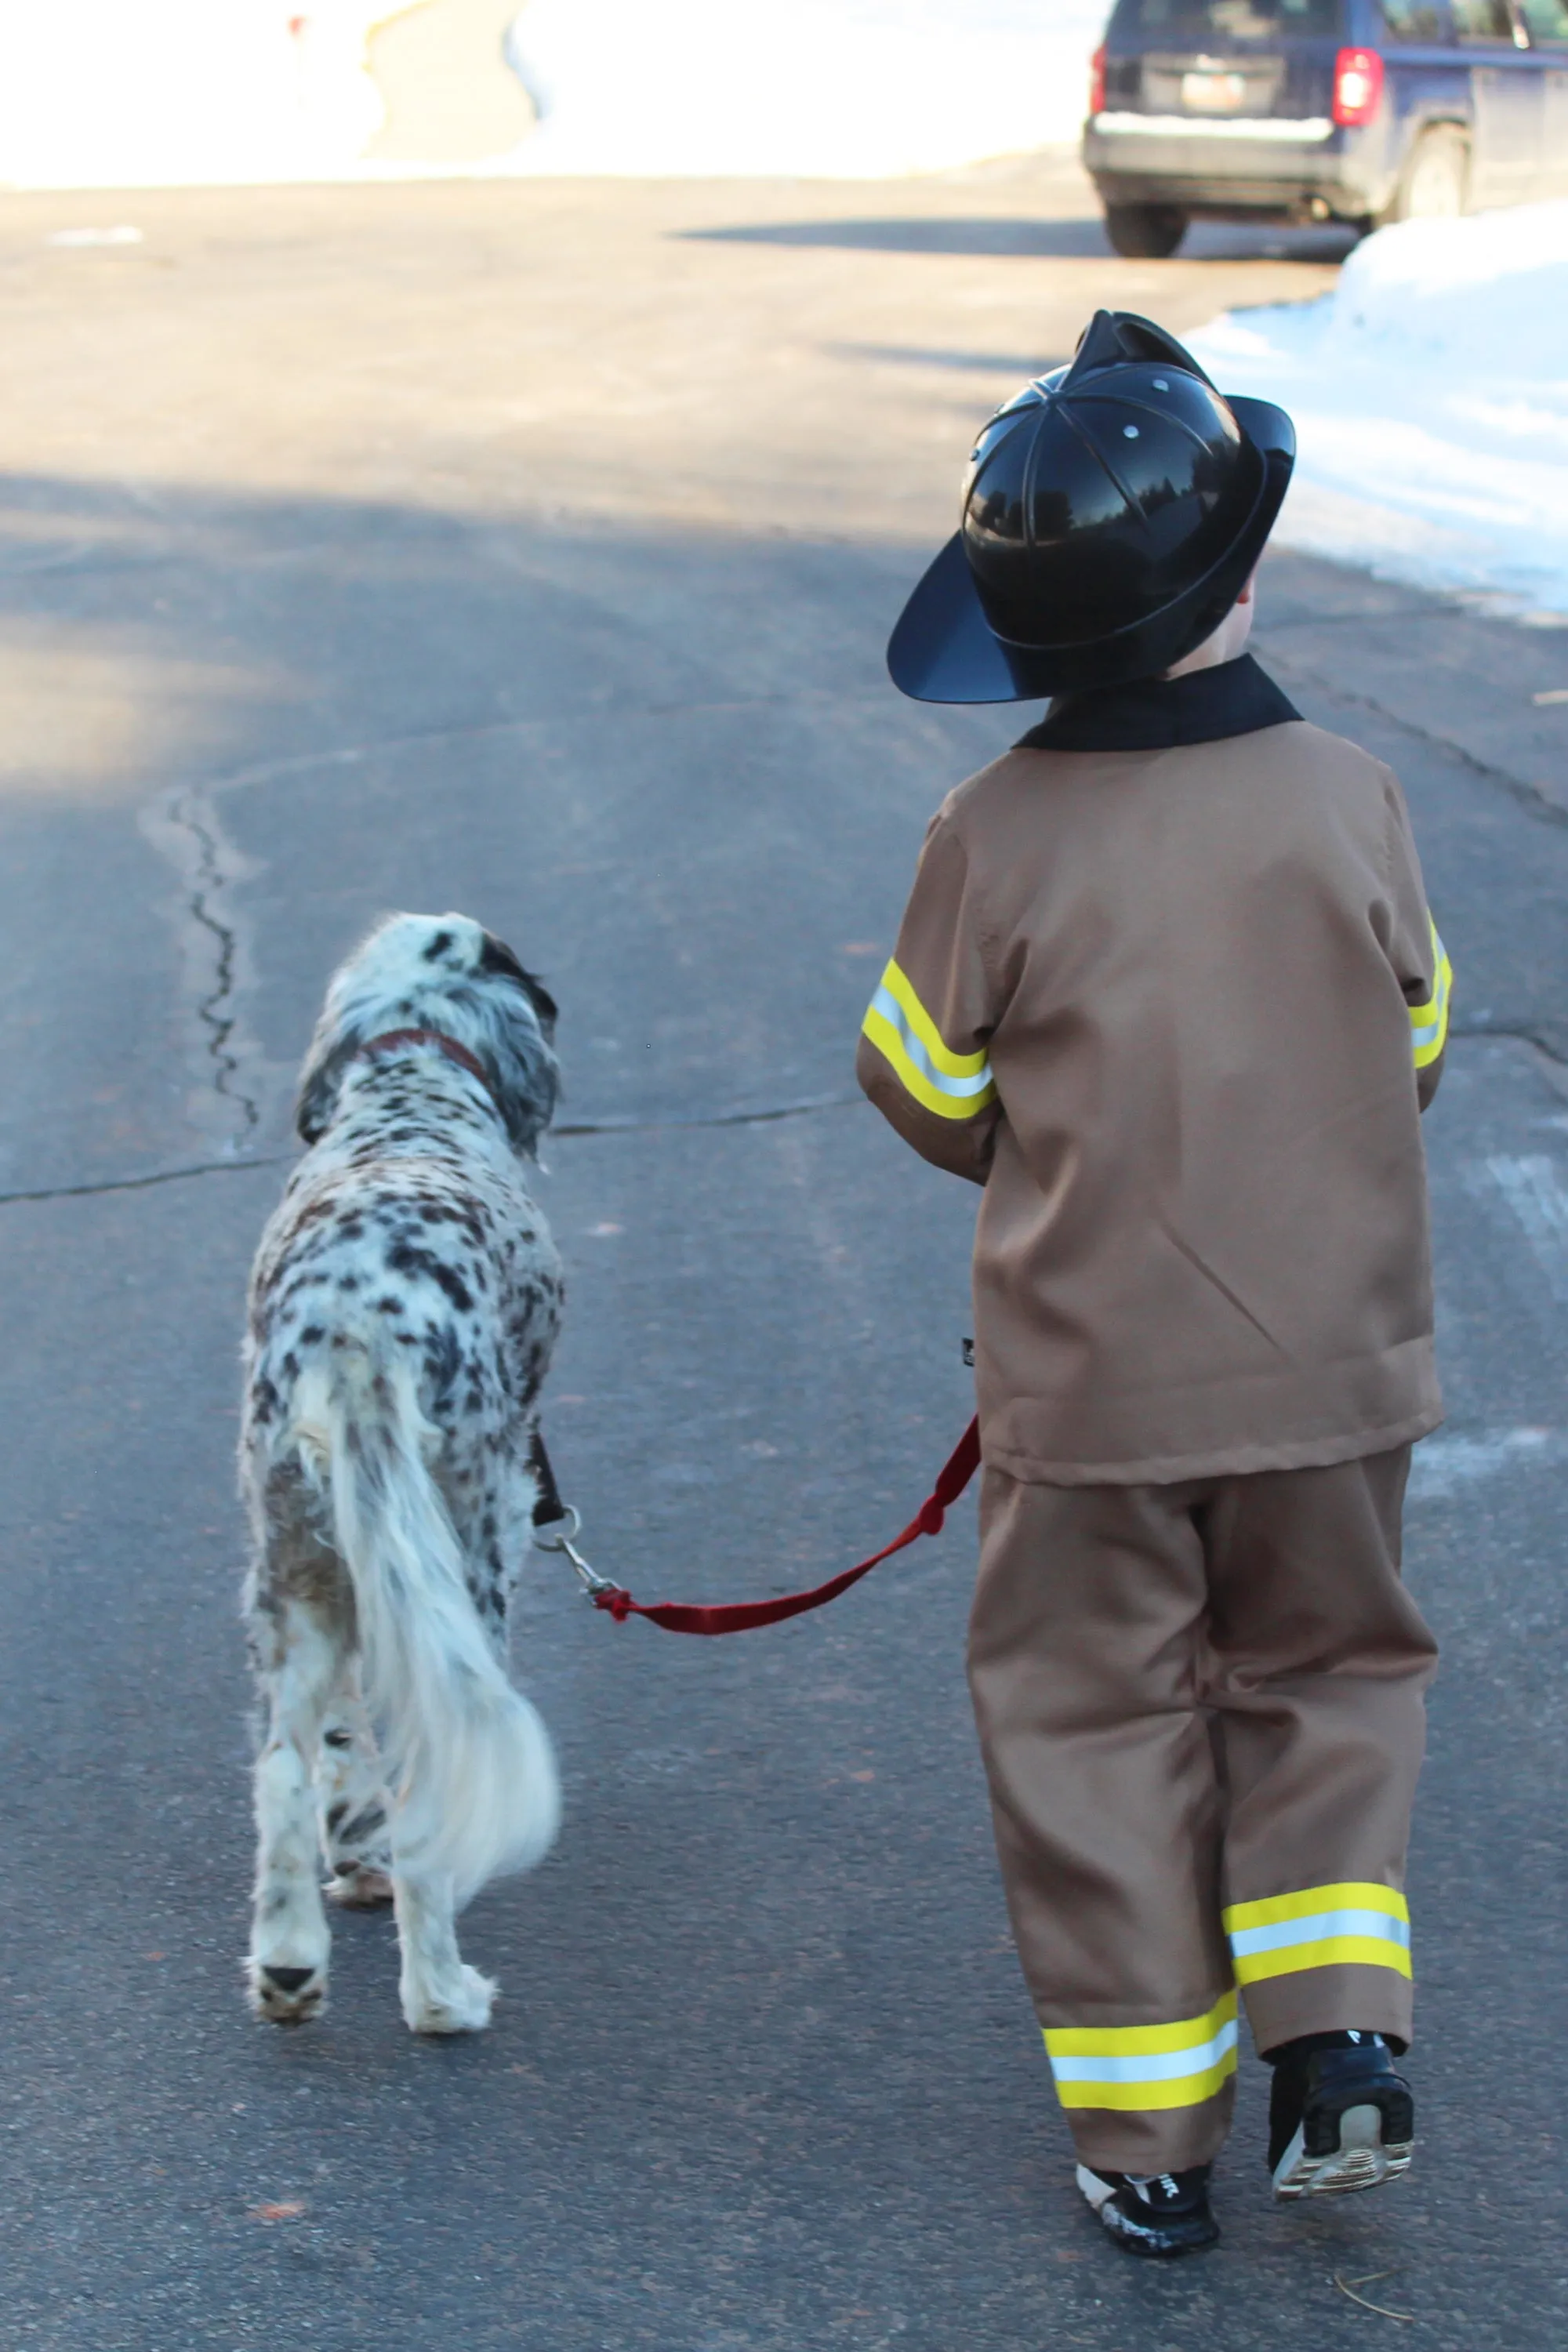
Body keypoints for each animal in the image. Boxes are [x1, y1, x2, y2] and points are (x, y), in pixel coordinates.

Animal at [239, 908, 564, 2032]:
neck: (408, 1093)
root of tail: (355, 1333)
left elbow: (340, 1753)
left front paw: (351, 1858)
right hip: (466, 1556)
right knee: (428, 1803)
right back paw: (443, 1998)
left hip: (294, 1569)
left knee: (285, 1771)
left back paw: (291, 1965)